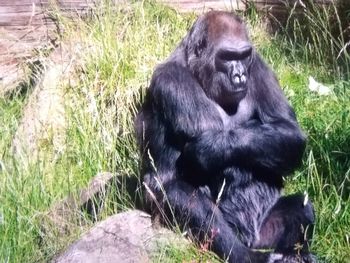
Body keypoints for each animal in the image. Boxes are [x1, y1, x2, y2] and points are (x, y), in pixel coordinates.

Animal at [135, 10, 316, 263]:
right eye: (227, 56)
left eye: (244, 55)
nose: (239, 75)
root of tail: (252, 240)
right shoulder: (172, 79)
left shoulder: (258, 66)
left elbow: (288, 131)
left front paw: (212, 147)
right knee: (183, 196)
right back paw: (245, 254)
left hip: (264, 236)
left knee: (302, 206)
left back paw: (294, 254)